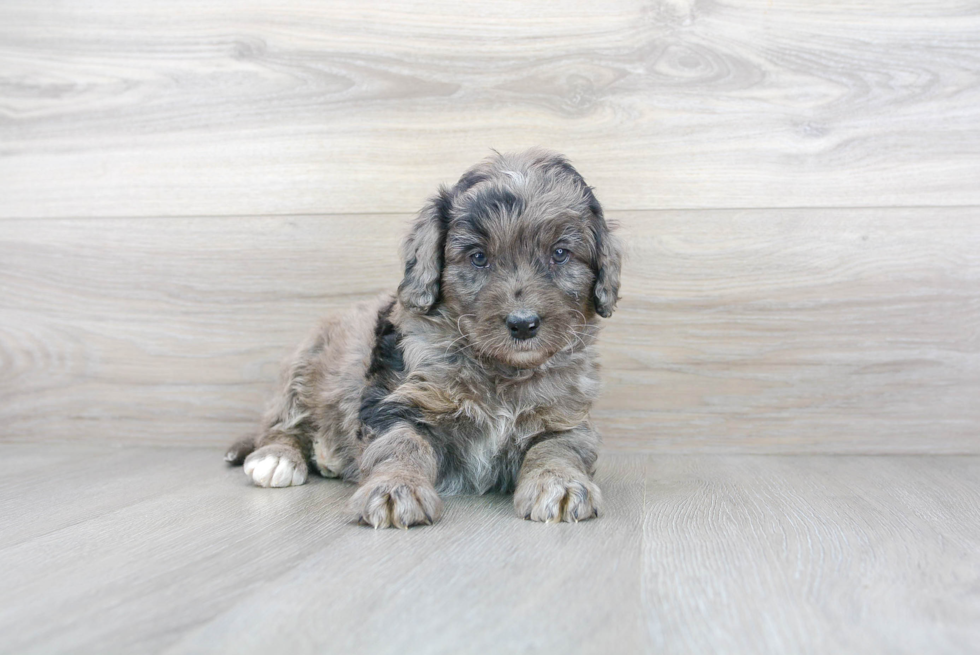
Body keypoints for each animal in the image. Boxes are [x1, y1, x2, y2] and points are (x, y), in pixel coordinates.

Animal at [224, 149, 620, 528]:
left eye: (560, 254)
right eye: (478, 257)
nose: (523, 324)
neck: (500, 370)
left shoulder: (566, 418)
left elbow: (557, 450)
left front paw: (561, 484)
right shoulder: (396, 404)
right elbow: (401, 446)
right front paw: (395, 488)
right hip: (304, 366)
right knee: (280, 423)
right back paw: (277, 457)